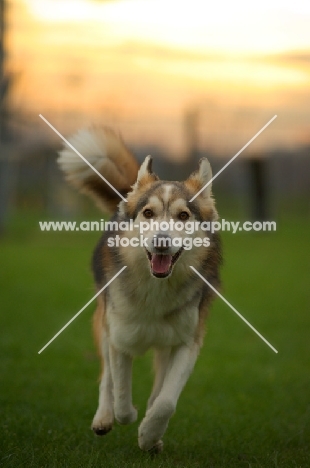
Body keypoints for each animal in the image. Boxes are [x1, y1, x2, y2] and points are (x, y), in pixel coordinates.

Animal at [58, 128, 222, 454]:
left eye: (183, 216)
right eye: (148, 213)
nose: (161, 241)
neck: (156, 289)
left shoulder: (187, 342)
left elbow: (165, 401)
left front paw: (148, 434)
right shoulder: (119, 338)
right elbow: (120, 389)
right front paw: (127, 415)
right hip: (102, 321)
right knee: (106, 377)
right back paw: (103, 418)